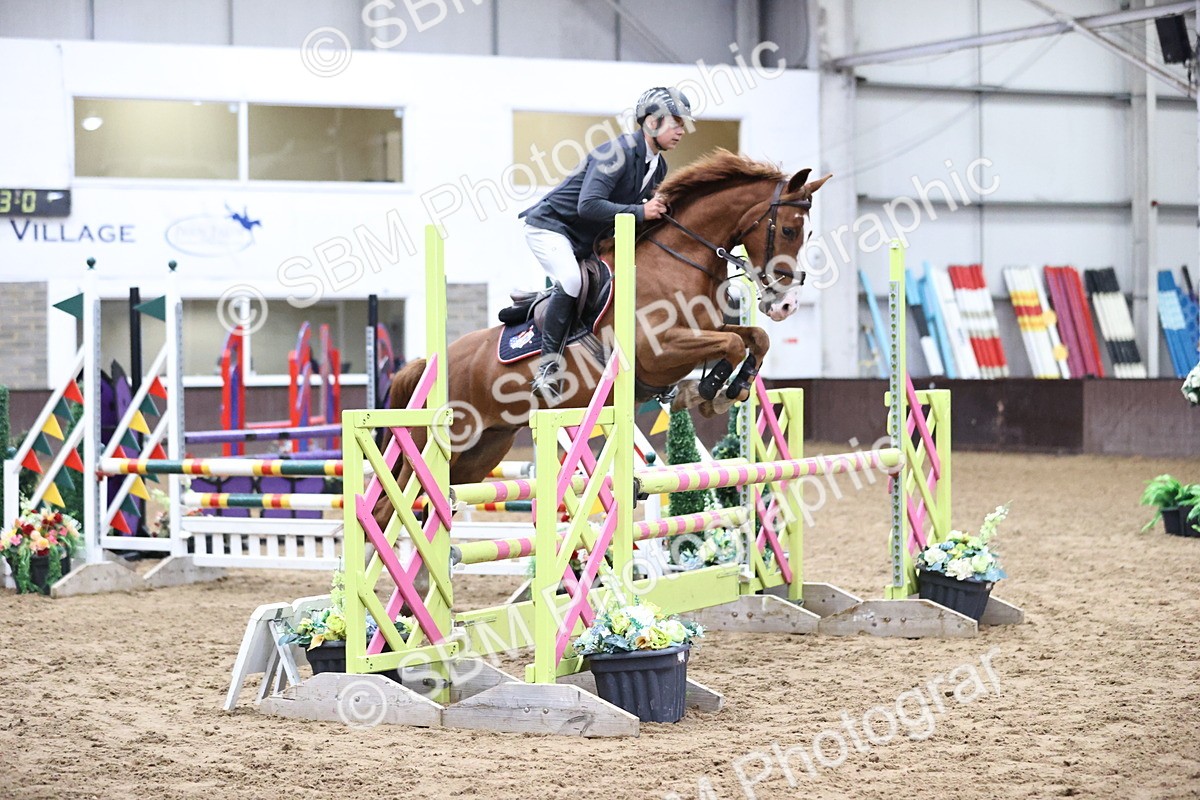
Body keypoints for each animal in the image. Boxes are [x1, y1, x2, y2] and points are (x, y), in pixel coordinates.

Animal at [383, 149, 830, 501]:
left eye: (807, 232)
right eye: (788, 229)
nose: (786, 303)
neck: (678, 260)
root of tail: (430, 363)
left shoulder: (705, 331)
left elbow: (754, 338)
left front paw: (729, 389)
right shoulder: (659, 350)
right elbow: (734, 346)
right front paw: (708, 392)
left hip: (481, 453)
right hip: (438, 447)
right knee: (391, 505)